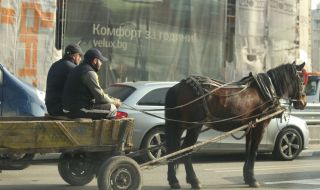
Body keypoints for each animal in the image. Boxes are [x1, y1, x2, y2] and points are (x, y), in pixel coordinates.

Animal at [165, 62, 308, 189]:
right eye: (301, 80)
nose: (303, 101)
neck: (266, 91)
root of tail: (178, 87)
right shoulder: (260, 127)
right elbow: (254, 151)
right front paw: (253, 179)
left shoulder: (251, 127)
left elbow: (248, 150)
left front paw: (247, 177)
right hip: (194, 127)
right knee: (185, 151)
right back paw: (194, 180)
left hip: (178, 126)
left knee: (172, 150)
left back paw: (174, 181)